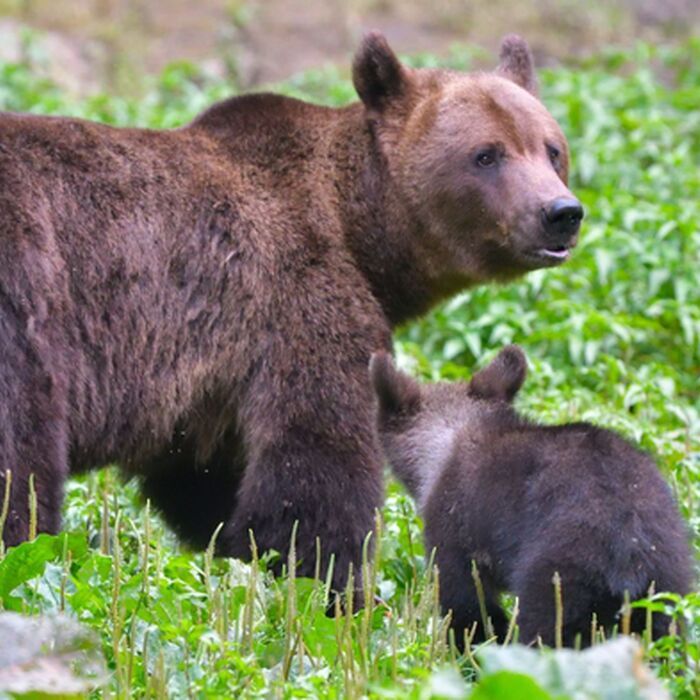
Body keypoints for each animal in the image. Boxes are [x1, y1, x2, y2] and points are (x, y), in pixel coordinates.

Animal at [0, 33, 582, 596]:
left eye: (551, 148)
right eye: (486, 155)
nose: (561, 213)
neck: (361, 233)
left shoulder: (207, 389)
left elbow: (209, 482)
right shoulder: (295, 299)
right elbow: (316, 469)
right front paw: (331, 585)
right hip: (30, 305)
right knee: (21, 462)